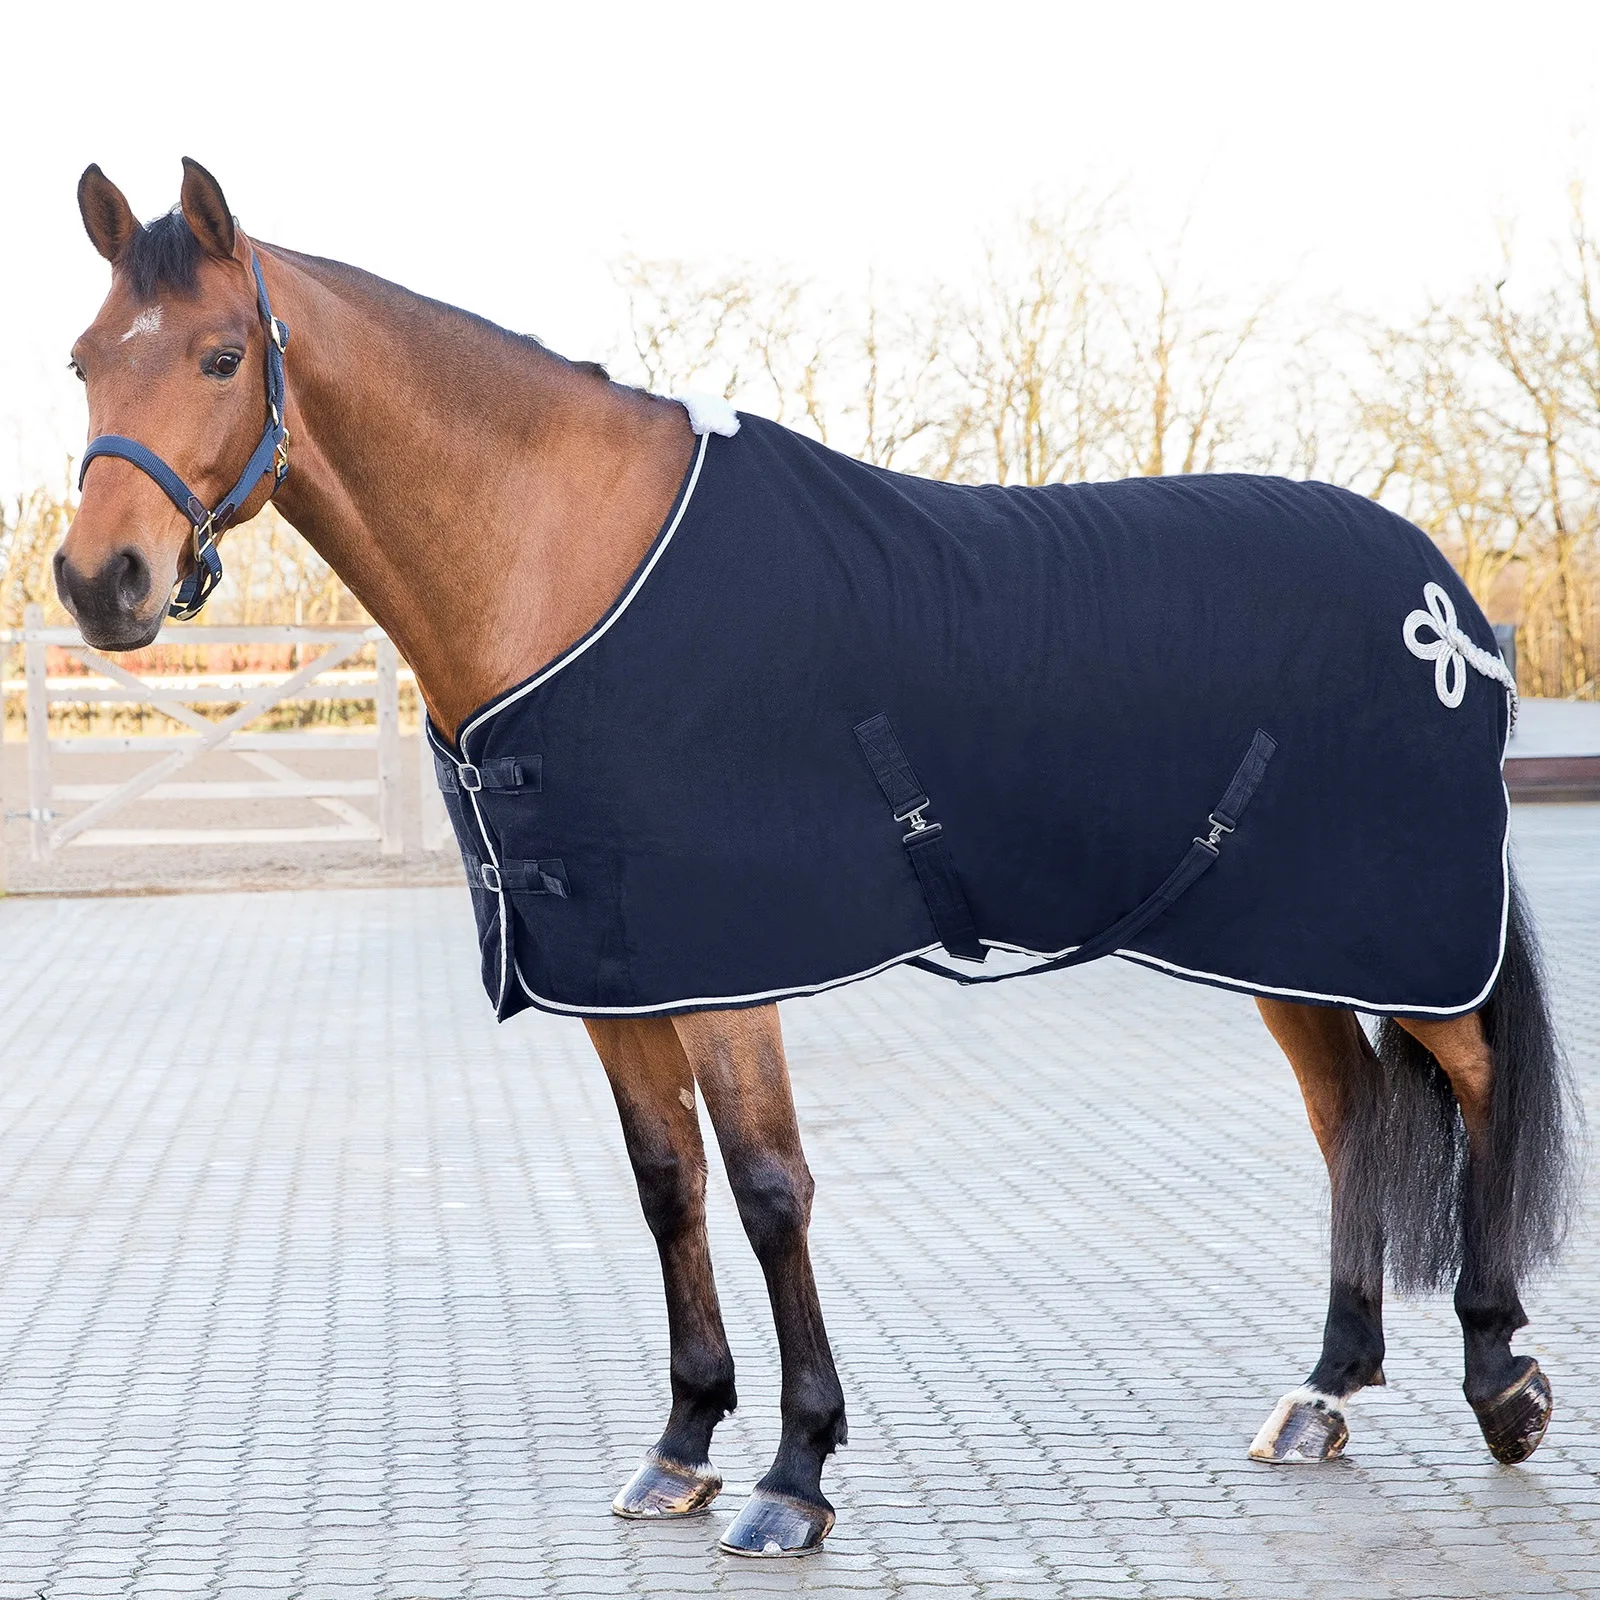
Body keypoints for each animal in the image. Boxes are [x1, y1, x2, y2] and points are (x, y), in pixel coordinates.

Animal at [53, 159, 1576, 1558]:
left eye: (222, 354)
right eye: (82, 360)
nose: (98, 583)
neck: (572, 562)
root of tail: (1448, 605)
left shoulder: (728, 971)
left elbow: (770, 1188)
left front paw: (795, 1471)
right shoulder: (618, 973)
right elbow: (667, 1184)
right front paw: (681, 1443)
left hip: (1399, 924)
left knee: (1476, 1077)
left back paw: (1501, 1374)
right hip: (1279, 938)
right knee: (1349, 1116)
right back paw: (1326, 1389)